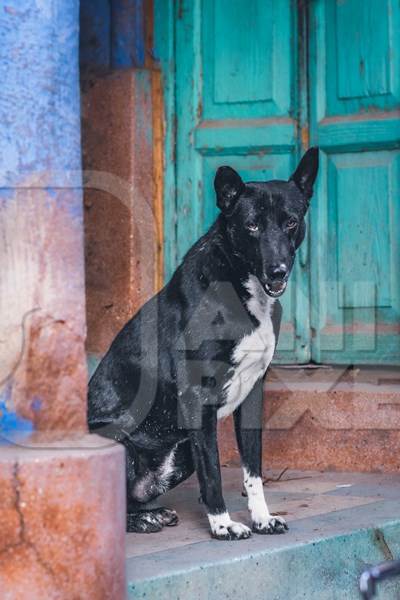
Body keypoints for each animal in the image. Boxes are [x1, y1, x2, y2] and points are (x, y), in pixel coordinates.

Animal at [87, 148, 318, 540]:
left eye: (290, 222)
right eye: (251, 226)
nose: (277, 271)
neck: (241, 287)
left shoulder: (253, 393)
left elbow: (252, 468)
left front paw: (261, 518)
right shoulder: (197, 396)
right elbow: (214, 472)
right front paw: (223, 524)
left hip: (180, 453)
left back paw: (152, 513)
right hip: (117, 441)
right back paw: (144, 520)